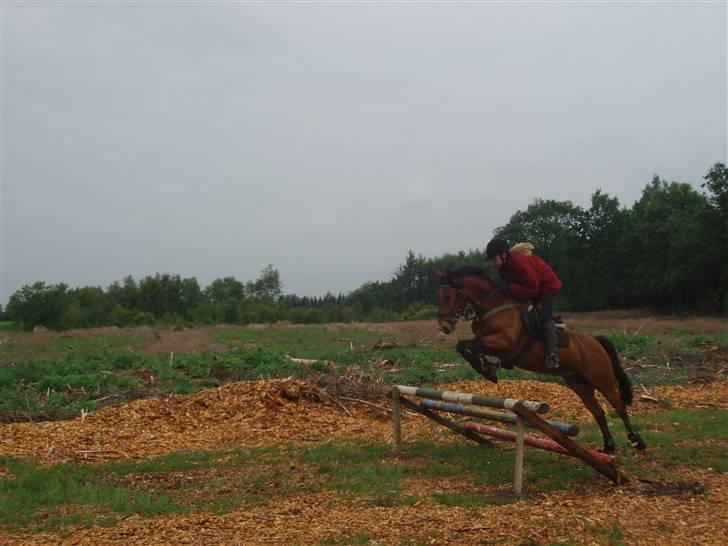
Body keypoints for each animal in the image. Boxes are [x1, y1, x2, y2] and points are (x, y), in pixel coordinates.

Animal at [436, 266, 644, 452]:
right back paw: (609, 447)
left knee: (618, 406)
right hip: (579, 383)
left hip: (602, 379)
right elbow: (467, 345)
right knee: (598, 411)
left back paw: (636, 441)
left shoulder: (504, 343)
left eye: (448, 297)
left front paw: (487, 370)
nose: (444, 326)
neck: (493, 308)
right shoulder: (487, 341)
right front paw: (486, 369)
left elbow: (469, 344)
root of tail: (595, 342)